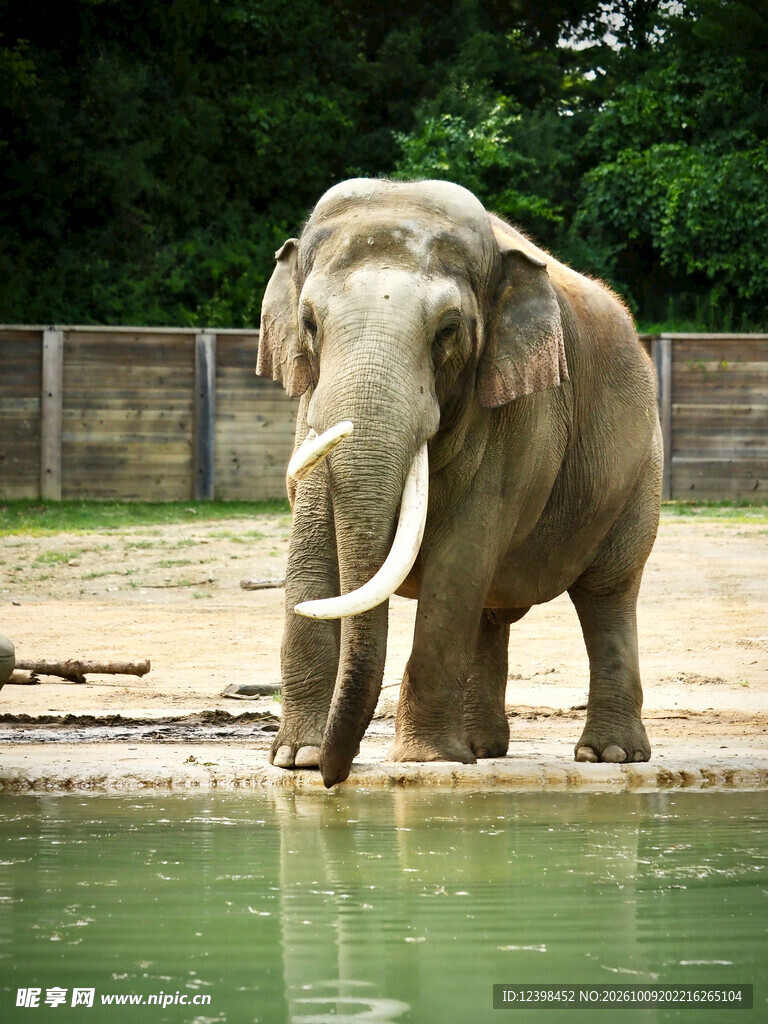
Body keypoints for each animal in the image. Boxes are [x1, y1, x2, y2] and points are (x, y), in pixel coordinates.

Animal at [256, 177, 662, 788]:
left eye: (447, 331)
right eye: (309, 325)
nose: (335, 776)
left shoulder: (520, 419)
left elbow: (459, 559)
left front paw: (423, 762)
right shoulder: (312, 411)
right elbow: (309, 556)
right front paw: (297, 759)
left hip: (640, 471)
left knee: (607, 593)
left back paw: (608, 755)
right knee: (491, 612)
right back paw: (481, 748)